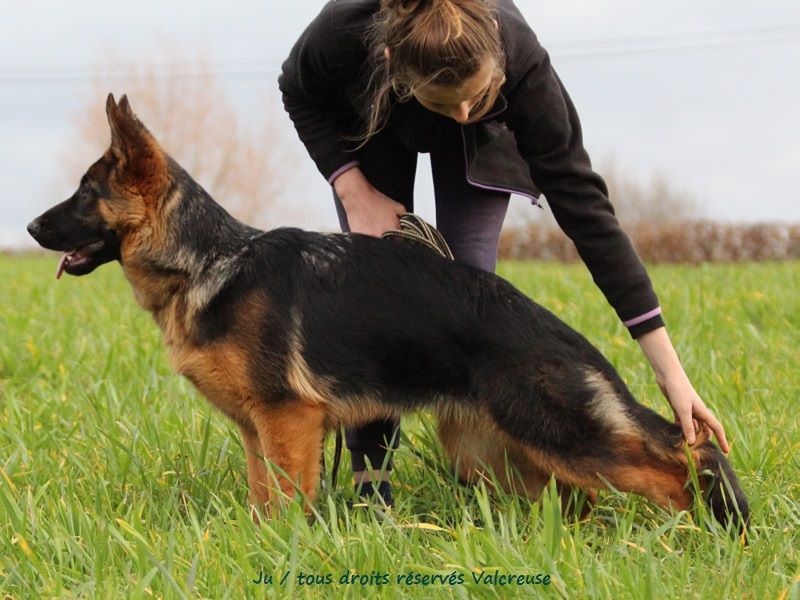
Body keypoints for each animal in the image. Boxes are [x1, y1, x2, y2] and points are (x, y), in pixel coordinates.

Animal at [26, 95, 752, 528]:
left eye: (86, 193)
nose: (30, 227)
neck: (208, 262)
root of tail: (565, 335)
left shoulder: (289, 421)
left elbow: (287, 503)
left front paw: (287, 551)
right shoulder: (259, 432)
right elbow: (263, 499)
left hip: (559, 432)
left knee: (681, 459)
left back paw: (697, 531)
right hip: (494, 449)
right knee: (592, 491)